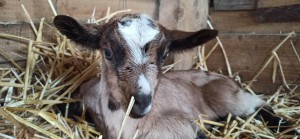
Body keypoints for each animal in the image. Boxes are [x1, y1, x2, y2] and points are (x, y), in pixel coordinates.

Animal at [54, 13, 298, 138]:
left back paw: (286, 126)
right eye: (108, 52)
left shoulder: (174, 127)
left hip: (227, 96)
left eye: (164, 55)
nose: (142, 101)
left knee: (259, 104)